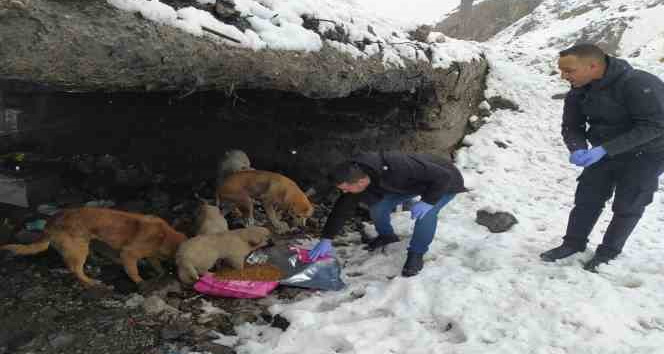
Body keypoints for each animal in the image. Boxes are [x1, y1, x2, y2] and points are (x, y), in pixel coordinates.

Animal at [0, 207, 187, 288]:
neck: (164, 236)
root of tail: (50, 223)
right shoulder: (129, 254)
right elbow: (134, 272)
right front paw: (142, 282)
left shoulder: (152, 255)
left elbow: (156, 264)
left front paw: (160, 273)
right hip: (79, 248)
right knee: (75, 269)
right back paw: (90, 281)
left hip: (88, 243)